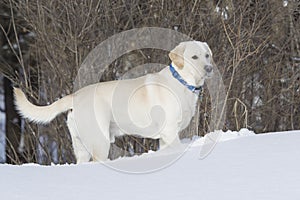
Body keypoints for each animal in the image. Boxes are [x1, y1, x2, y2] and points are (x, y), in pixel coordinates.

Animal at [14, 40, 213, 162]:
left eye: (207, 55)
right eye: (194, 57)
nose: (209, 68)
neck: (183, 82)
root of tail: (76, 95)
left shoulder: (165, 137)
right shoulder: (170, 131)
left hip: (81, 147)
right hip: (100, 143)